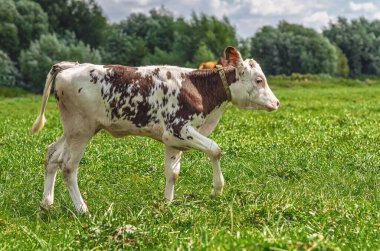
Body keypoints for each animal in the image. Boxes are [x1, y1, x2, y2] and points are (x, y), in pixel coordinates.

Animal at [31, 46, 280, 213]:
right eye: (259, 80)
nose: (276, 103)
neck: (198, 88)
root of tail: (70, 66)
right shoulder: (179, 129)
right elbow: (214, 149)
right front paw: (217, 189)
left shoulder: (173, 140)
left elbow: (173, 173)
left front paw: (167, 204)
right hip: (81, 129)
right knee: (68, 166)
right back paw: (82, 209)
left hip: (73, 129)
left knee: (52, 155)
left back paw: (47, 203)